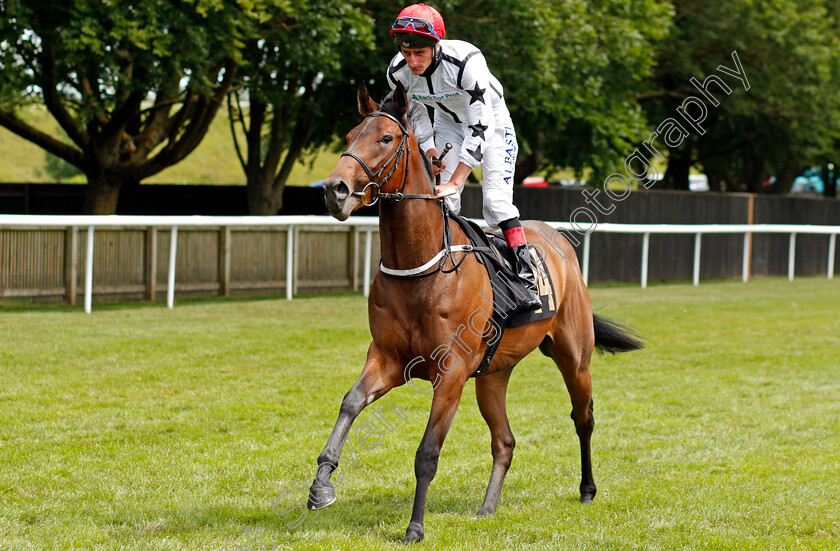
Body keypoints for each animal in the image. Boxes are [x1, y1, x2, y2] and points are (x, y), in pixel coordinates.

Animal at [310, 83, 644, 544]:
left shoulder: (450, 372)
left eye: (386, 138)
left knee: (584, 418)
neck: (422, 268)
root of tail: (558, 239)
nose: (334, 189)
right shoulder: (389, 359)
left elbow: (427, 452)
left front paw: (415, 527)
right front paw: (322, 484)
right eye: (348, 136)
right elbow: (351, 402)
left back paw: (588, 489)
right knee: (505, 440)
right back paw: (487, 507)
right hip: (493, 375)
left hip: (574, 357)